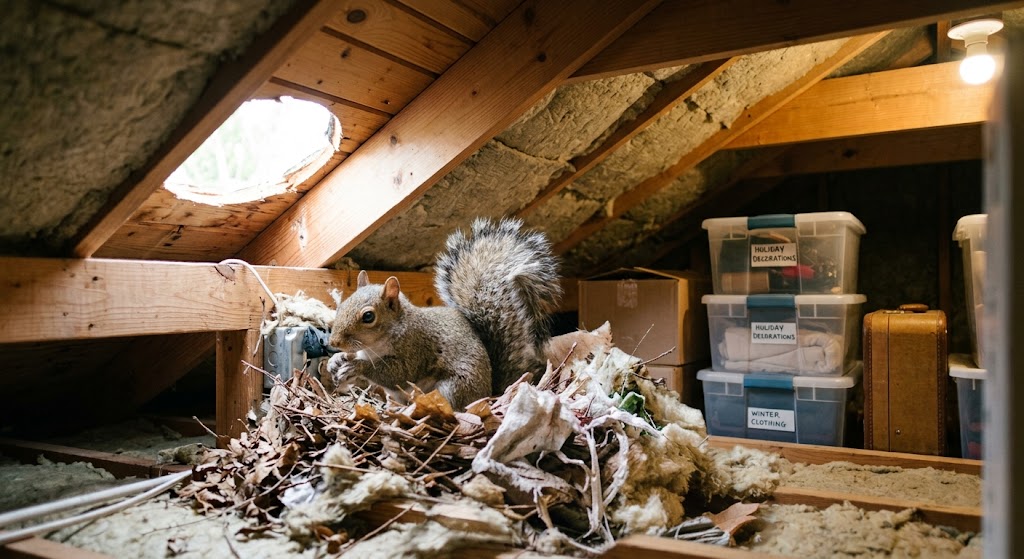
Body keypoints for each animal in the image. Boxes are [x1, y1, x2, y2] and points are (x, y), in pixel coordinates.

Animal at [326, 217, 563, 409]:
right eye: (343, 303)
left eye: (368, 317)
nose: (334, 342)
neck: (374, 346)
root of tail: (489, 392)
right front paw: (336, 361)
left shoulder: (415, 348)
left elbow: (398, 373)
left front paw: (357, 366)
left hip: (454, 387)